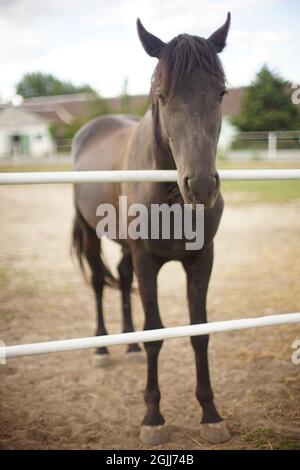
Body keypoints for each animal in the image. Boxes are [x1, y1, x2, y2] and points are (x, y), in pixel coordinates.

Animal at [72, 12, 232, 446]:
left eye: (221, 93)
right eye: (162, 95)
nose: (201, 185)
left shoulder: (202, 260)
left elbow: (199, 332)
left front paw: (210, 414)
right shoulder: (148, 262)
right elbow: (156, 333)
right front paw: (153, 418)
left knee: (121, 278)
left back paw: (127, 345)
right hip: (92, 235)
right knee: (98, 281)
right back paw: (102, 347)